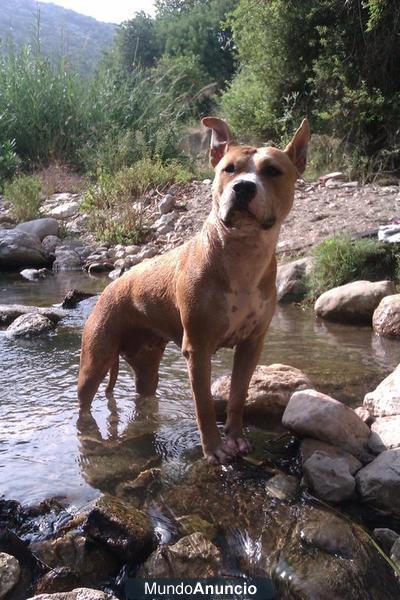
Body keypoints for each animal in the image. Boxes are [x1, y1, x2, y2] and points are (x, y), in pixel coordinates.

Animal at [77, 117, 310, 464]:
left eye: (272, 171)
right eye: (229, 169)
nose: (243, 187)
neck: (242, 254)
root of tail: (111, 287)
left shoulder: (251, 345)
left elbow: (238, 396)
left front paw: (236, 438)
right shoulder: (198, 350)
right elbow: (203, 406)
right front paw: (213, 449)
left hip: (146, 366)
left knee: (144, 393)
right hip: (95, 360)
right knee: (83, 402)